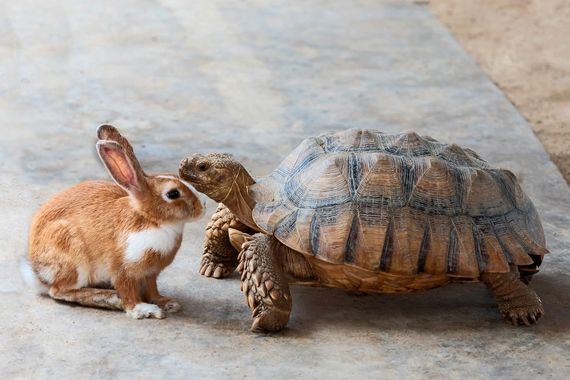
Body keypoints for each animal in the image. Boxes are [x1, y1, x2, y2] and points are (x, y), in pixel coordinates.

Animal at [25, 124, 206, 318]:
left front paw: (167, 303)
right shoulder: (122, 269)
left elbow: (153, 290)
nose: (202, 206)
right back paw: (108, 298)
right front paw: (143, 310)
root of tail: (37, 272)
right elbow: (128, 293)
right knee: (60, 291)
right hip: (72, 256)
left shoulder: (150, 274)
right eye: (173, 194)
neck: (151, 220)